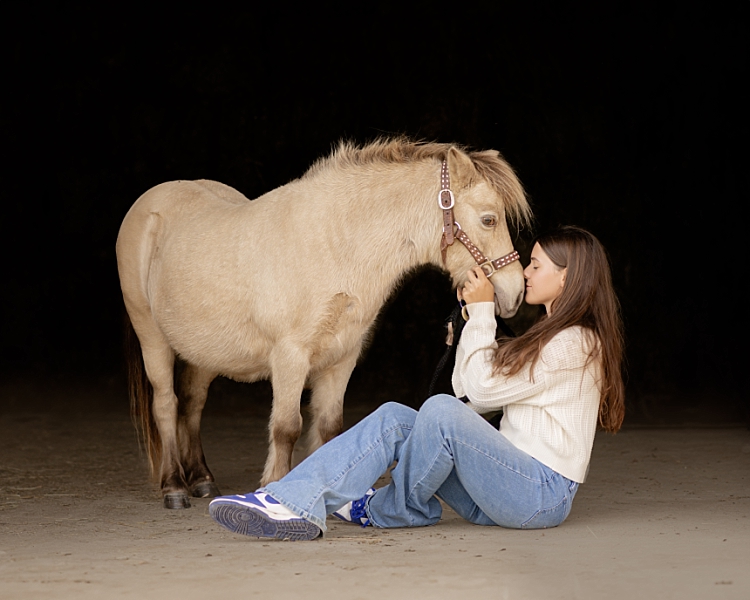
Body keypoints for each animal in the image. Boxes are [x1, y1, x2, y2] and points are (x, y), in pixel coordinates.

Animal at [114, 138, 532, 508]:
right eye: (489, 219)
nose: (513, 294)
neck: (334, 243)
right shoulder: (290, 357)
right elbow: (286, 427)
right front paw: (273, 491)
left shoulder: (341, 358)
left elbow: (330, 429)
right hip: (152, 336)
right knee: (166, 404)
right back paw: (174, 488)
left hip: (204, 352)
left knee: (193, 404)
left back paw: (201, 479)